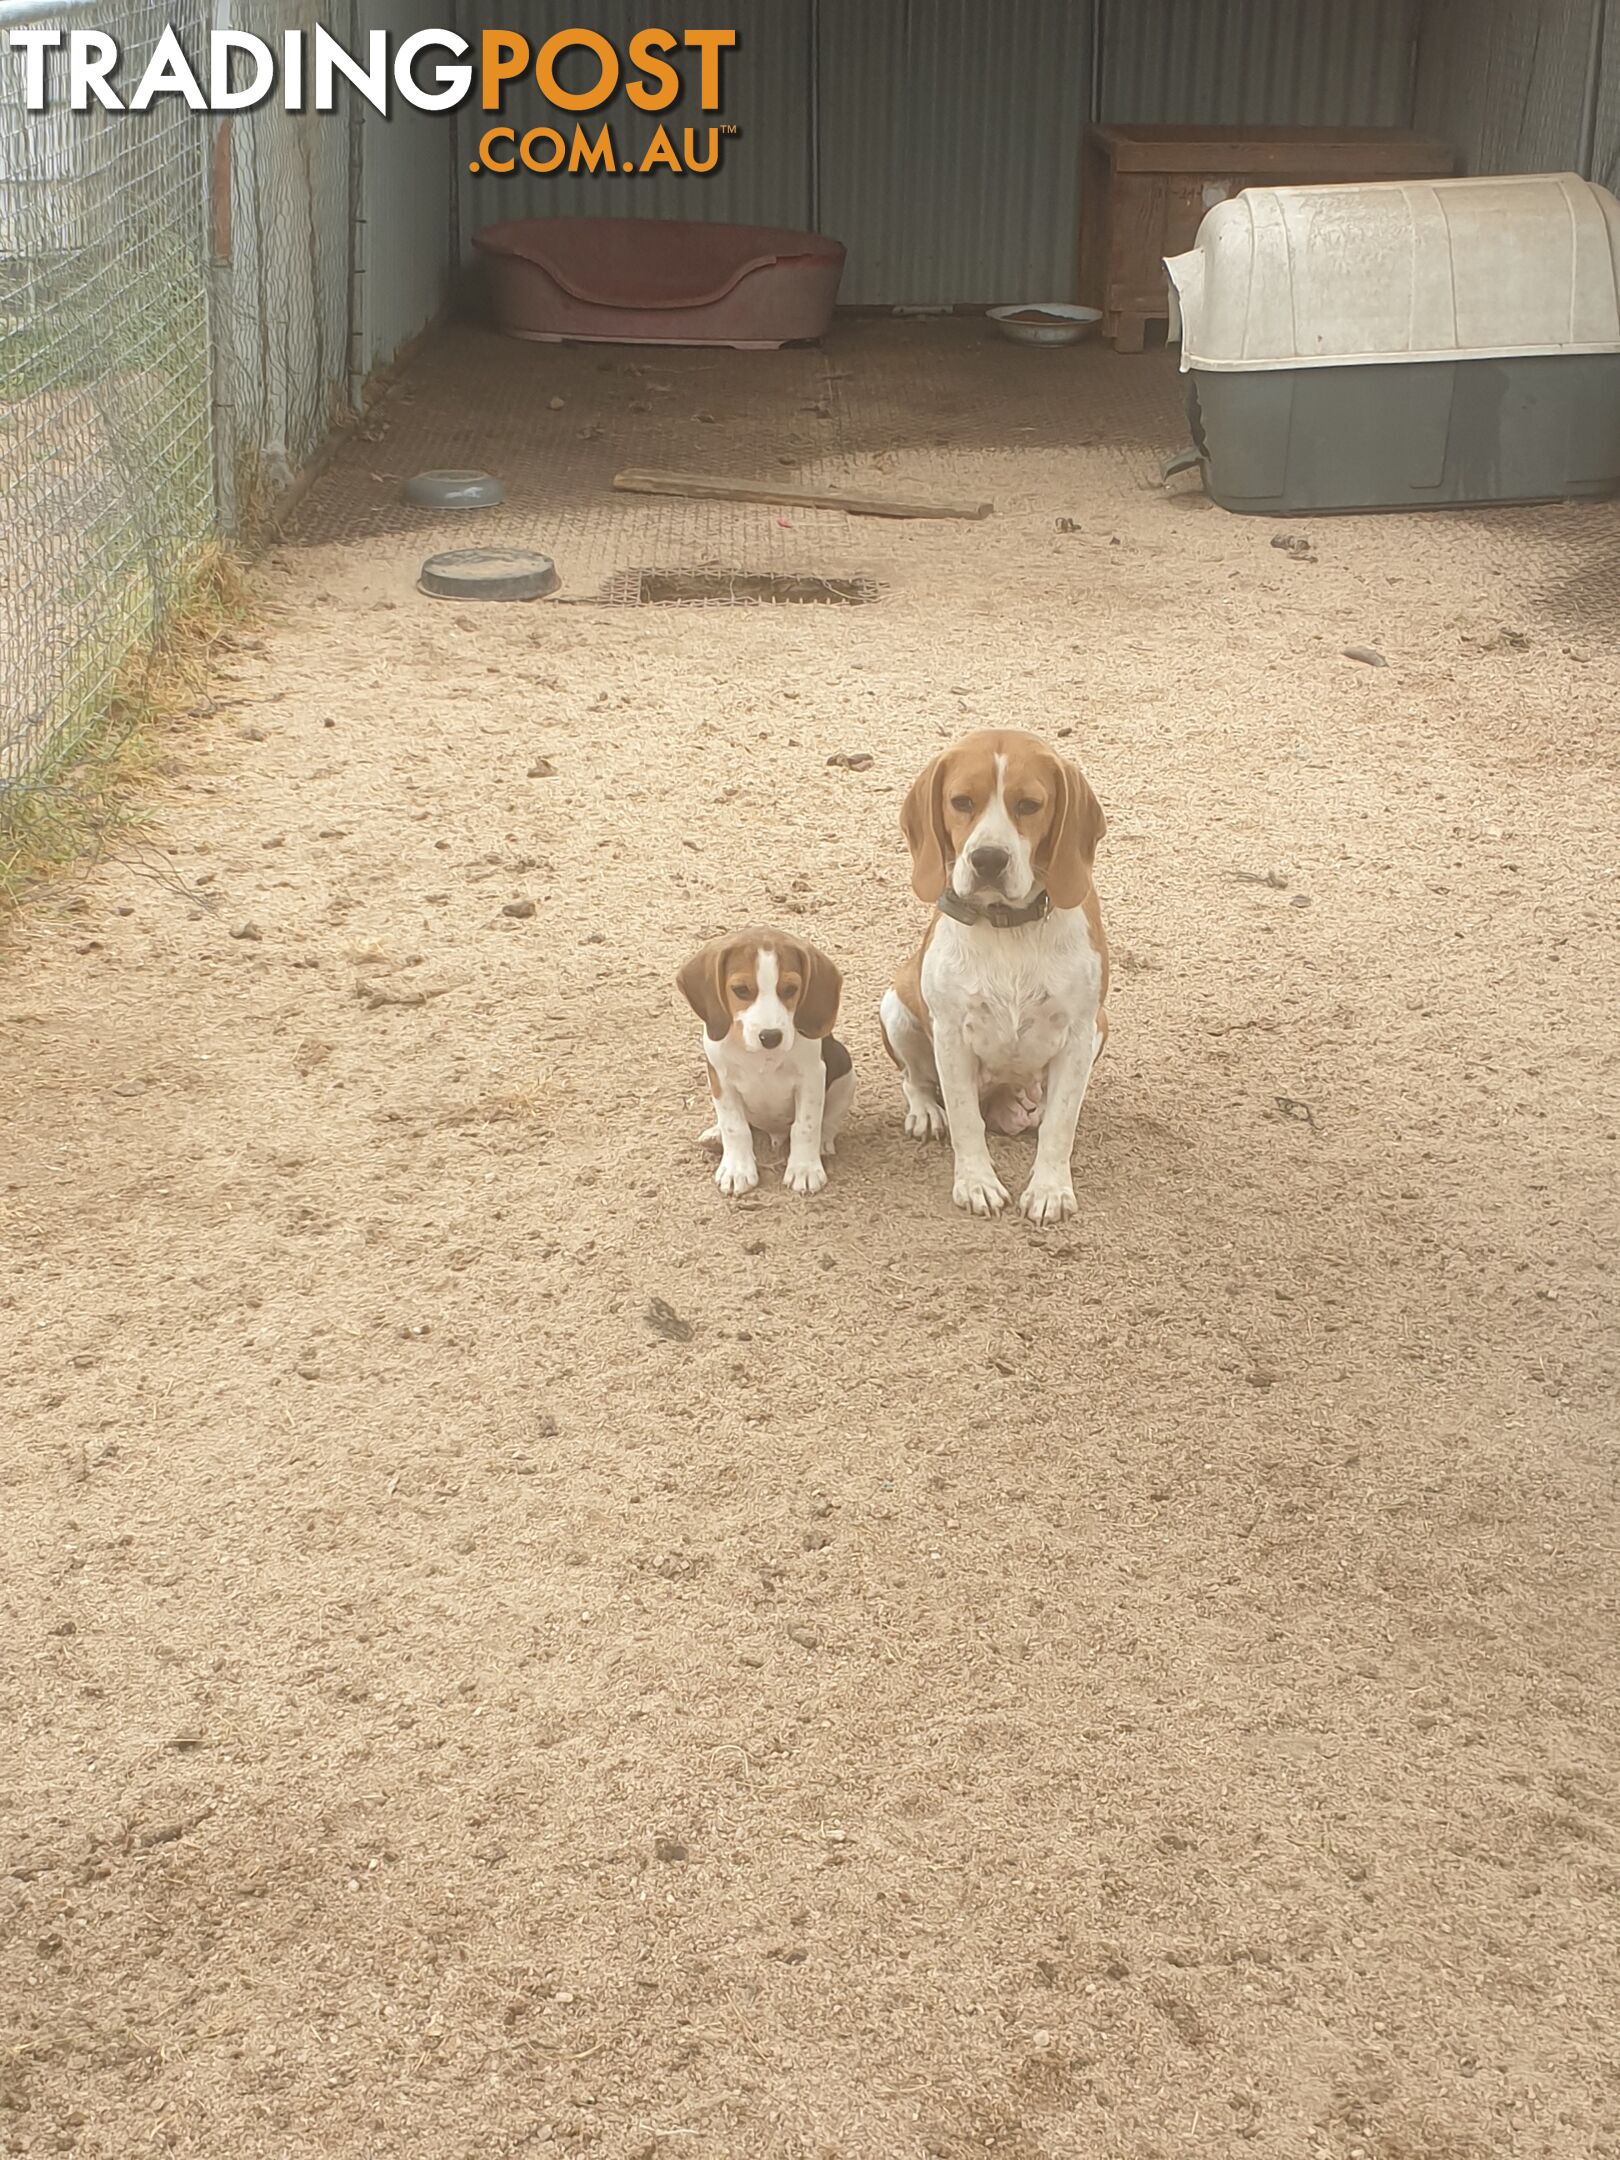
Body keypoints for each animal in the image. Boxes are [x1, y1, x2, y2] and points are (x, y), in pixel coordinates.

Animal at [678, 928, 855, 1200]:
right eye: (741, 990)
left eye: (791, 989)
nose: (770, 1036)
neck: (761, 1056)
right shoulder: (720, 1079)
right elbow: (734, 1126)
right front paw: (736, 1170)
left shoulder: (812, 1077)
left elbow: (806, 1126)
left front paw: (805, 1169)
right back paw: (715, 1135)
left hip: (845, 1071)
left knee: (829, 1118)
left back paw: (824, 1142)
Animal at [881, 730, 1114, 1226]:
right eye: (961, 801)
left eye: (1028, 804)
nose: (988, 859)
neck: (1010, 929)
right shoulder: (951, 1036)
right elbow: (966, 1119)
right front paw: (976, 1183)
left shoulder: (1079, 1035)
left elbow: (1060, 1124)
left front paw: (1049, 1189)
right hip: (895, 1006)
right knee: (914, 1079)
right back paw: (926, 1112)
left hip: (1101, 1027)